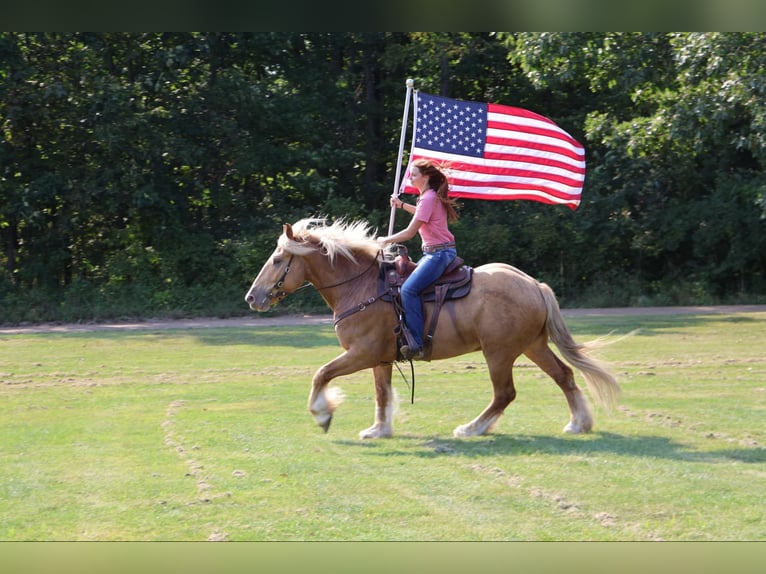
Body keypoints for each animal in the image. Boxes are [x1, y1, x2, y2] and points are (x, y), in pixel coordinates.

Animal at [248, 217, 624, 440]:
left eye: (278, 260)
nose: (253, 297)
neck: (362, 287)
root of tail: (534, 284)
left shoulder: (361, 353)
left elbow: (322, 374)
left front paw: (322, 414)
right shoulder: (380, 359)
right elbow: (382, 394)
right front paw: (379, 429)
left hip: (499, 353)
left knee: (504, 393)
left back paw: (472, 428)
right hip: (534, 345)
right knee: (564, 375)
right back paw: (578, 422)